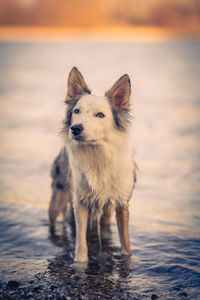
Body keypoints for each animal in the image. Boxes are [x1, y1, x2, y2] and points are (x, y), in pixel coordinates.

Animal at [48, 67, 136, 262]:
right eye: (77, 111)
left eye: (100, 115)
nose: (75, 129)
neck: (97, 155)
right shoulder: (80, 201)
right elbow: (81, 245)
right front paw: (80, 263)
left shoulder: (122, 204)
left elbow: (126, 243)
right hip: (58, 197)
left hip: (107, 210)